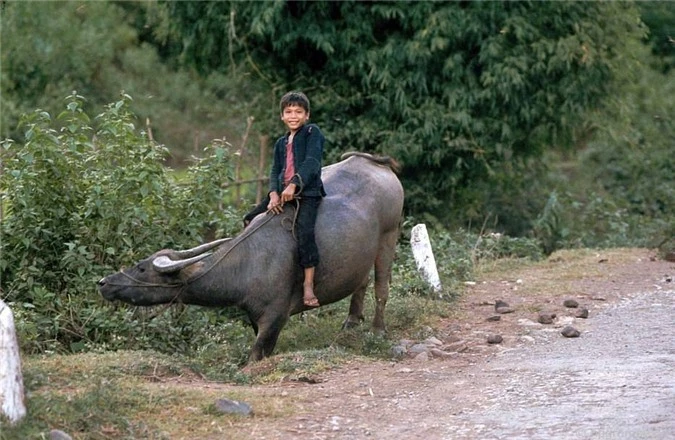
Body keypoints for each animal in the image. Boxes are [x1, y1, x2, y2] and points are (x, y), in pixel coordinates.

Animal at [98, 153, 404, 362]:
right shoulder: (254, 317)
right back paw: (351, 321)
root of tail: (374, 162)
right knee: (361, 281)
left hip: (389, 236)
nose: (104, 283)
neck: (250, 263)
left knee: (381, 287)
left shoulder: (274, 317)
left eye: (141, 268)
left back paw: (378, 330)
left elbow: (255, 355)